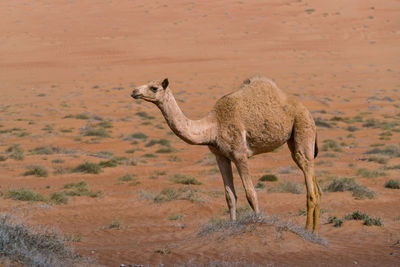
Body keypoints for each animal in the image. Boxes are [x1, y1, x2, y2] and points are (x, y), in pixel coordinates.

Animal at [131, 76, 322, 233]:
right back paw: (314, 231)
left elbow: (251, 194)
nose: (134, 91)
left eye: (154, 87)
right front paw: (232, 226)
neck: (213, 127)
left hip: (303, 126)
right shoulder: (220, 156)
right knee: (314, 181)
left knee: (309, 185)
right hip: (295, 140)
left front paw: (258, 222)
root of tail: (307, 110)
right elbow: (230, 196)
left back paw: (309, 232)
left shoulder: (239, 154)